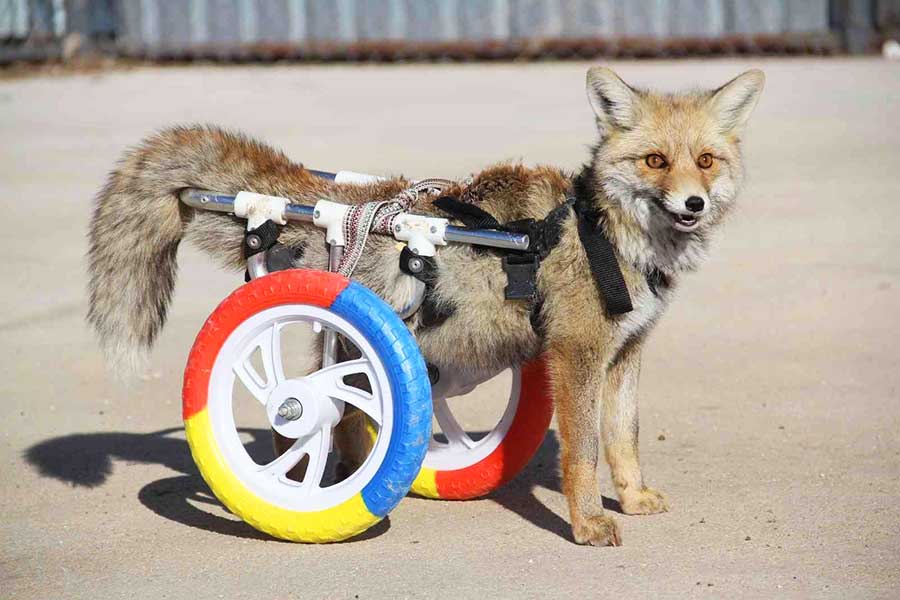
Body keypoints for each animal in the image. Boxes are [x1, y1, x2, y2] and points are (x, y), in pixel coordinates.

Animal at [88, 66, 764, 546]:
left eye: (705, 161)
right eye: (655, 161)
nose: (695, 204)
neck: (604, 235)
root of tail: (351, 201)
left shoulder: (624, 355)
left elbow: (624, 439)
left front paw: (634, 497)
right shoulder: (577, 355)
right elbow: (583, 455)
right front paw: (587, 524)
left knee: (352, 424)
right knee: (304, 413)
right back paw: (300, 496)